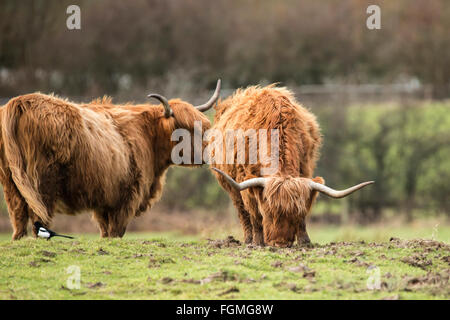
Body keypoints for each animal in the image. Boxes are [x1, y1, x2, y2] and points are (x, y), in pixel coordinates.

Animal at [0, 80, 221, 240]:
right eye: (185, 130)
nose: (209, 151)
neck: (148, 135)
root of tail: (19, 102)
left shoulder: (104, 201)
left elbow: (105, 232)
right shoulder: (127, 197)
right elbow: (116, 232)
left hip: (11, 183)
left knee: (18, 218)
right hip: (42, 183)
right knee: (39, 218)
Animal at [211, 85, 372, 248]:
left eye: (294, 213)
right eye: (268, 212)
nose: (280, 243)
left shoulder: (305, 170)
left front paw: (304, 241)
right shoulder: (244, 179)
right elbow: (254, 213)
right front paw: (257, 242)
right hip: (230, 186)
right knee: (242, 211)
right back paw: (249, 239)